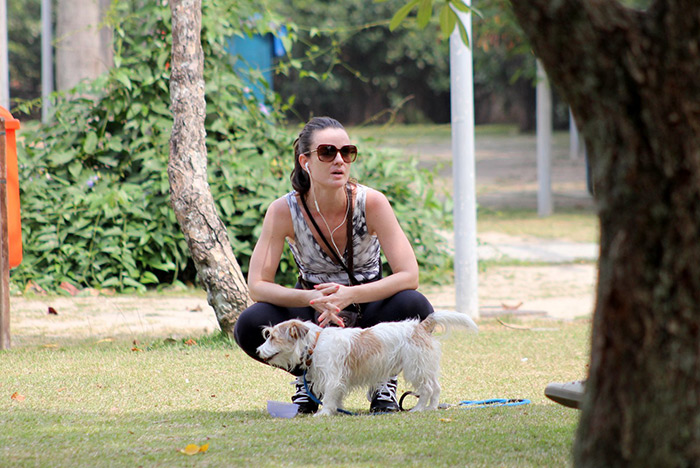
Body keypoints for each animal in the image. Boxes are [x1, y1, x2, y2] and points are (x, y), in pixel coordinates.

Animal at [254, 310, 478, 416]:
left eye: (272, 337)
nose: (257, 351)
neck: (315, 343)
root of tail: (419, 327)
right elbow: (336, 396)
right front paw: (336, 410)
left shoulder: (332, 377)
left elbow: (329, 396)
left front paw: (324, 413)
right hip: (425, 368)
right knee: (436, 388)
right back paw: (432, 408)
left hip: (416, 368)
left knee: (427, 389)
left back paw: (419, 408)